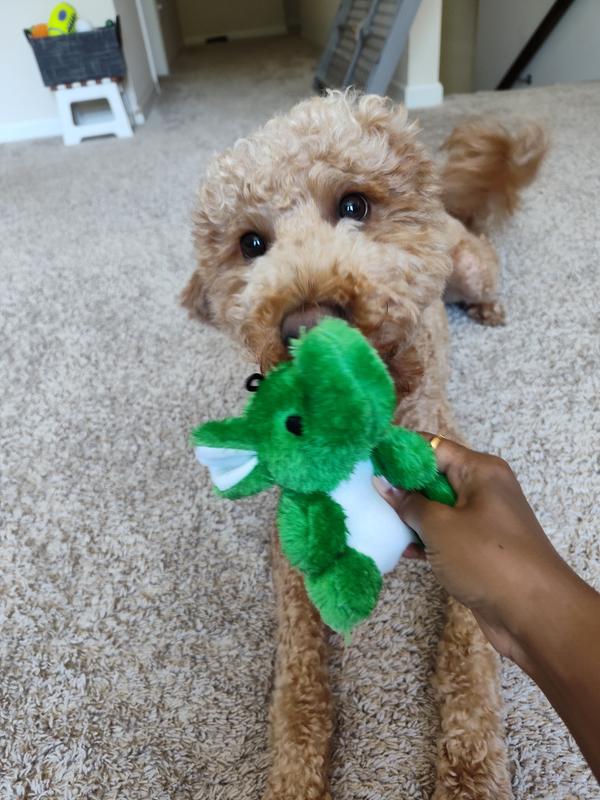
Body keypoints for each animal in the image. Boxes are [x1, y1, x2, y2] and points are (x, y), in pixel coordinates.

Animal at [182, 91, 546, 800]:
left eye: (354, 205)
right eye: (251, 244)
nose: (305, 323)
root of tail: (445, 205)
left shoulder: (464, 523)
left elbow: (469, 664)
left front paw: (471, 777)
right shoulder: (290, 555)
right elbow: (299, 685)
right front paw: (294, 778)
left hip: (469, 267)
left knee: (486, 275)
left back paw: (491, 310)